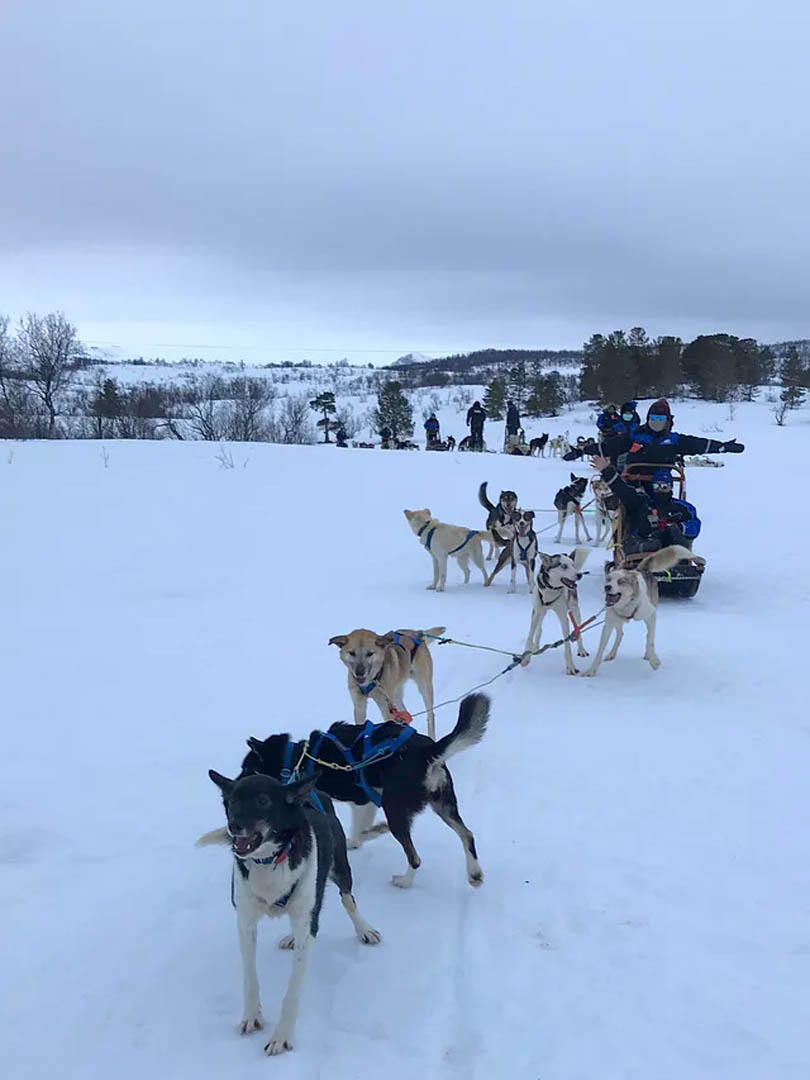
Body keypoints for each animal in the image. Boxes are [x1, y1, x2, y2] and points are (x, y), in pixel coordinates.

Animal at [201, 773, 382, 1058]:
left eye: (263, 801)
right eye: (231, 802)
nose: (233, 826)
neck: (269, 861)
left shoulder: (307, 925)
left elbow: (293, 990)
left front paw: (282, 1035)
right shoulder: (245, 923)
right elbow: (250, 977)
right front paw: (252, 1016)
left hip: (340, 870)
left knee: (348, 900)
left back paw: (364, 929)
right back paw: (289, 937)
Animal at [240, 695, 492, 889]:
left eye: (247, 769)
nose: (234, 786)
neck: (298, 759)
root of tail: (428, 752)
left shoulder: (361, 801)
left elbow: (359, 830)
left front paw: (362, 837)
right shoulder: (369, 800)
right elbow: (362, 830)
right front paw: (369, 833)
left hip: (395, 809)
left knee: (415, 857)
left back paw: (404, 881)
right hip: (443, 805)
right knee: (467, 834)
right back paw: (475, 873)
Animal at [578, 548, 708, 673]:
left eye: (621, 581)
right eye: (608, 580)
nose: (607, 587)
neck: (627, 605)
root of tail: (640, 569)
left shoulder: (651, 615)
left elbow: (650, 641)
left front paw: (654, 661)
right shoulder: (608, 625)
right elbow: (600, 649)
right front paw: (591, 670)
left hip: (648, 617)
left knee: (648, 635)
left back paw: (647, 655)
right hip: (617, 621)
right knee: (620, 634)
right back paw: (612, 654)